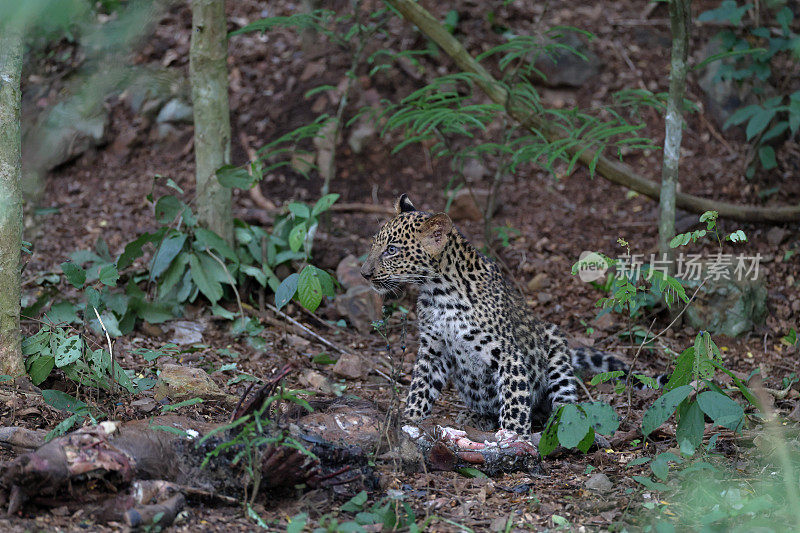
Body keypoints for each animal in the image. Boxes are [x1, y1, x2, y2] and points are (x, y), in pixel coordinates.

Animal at [360, 194, 660, 436]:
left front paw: (514, 438)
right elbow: (420, 388)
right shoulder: (433, 349)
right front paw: (409, 420)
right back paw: (474, 418)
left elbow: (515, 400)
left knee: (564, 400)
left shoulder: (506, 353)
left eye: (392, 250)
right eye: (374, 245)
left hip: (555, 347)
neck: (439, 293)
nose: (364, 273)